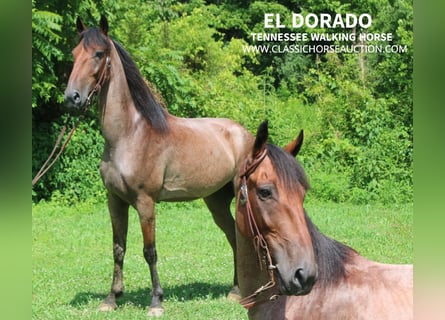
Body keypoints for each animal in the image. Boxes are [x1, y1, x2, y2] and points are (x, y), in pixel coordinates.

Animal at [63, 16, 253, 316]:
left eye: (99, 54)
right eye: (74, 54)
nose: (72, 98)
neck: (129, 135)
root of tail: (245, 134)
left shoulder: (145, 202)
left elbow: (149, 251)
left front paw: (156, 302)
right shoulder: (115, 201)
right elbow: (118, 248)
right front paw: (112, 298)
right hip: (216, 201)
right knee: (234, 237)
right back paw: (235, 291)